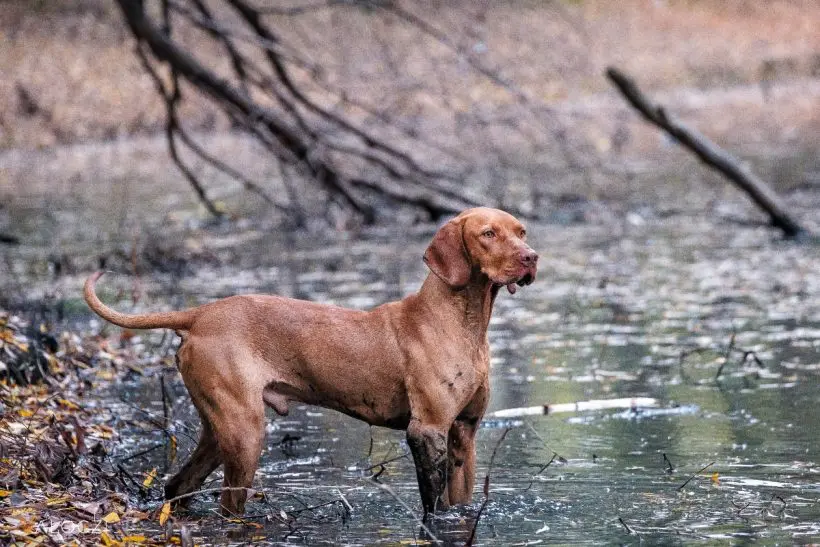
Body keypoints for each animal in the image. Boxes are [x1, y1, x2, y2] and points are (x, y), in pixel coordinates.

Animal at [81, 209, 532, 520]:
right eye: (488, 234)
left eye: (521, 231)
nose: (532, 257)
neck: (463, 321)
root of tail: (200, 314)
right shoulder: (427, 430)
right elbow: (433, 506)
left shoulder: (463, 433)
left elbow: (459, 502)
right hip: (245, 433)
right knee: (227, 505)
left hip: (218, 430)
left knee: (177, 486)